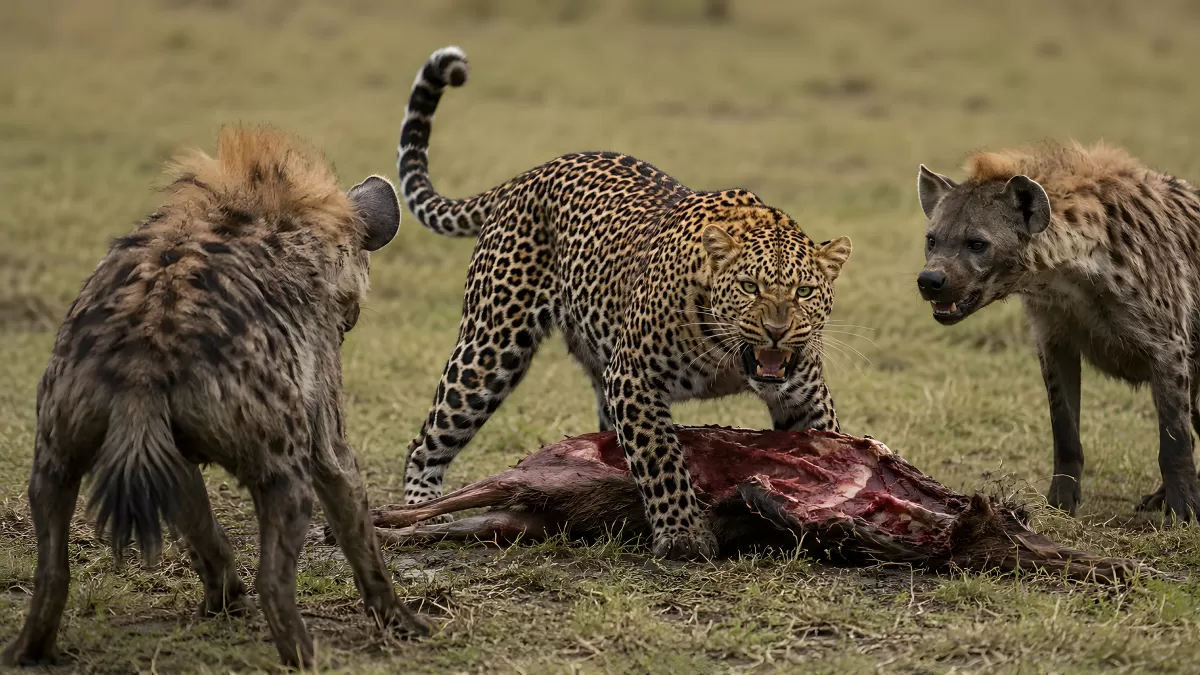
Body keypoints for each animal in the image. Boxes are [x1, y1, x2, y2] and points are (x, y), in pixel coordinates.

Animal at [1, 126, 428, 670]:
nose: (350, 316)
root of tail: (142, 362)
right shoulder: (320, 399)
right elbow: (346, 490)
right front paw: (403, 620)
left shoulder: (168, 448)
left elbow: (197, 516)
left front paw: (224, 597)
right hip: (280, 459)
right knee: (276, 576)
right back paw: (309, 656)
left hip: (56, 440)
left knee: (52, 567)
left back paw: (28, 650)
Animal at [390, 46, 853, 560]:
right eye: (750, 287)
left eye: (804, 292)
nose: (776, 330)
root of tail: (530, 174)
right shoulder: (633, 376)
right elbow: (660, 457)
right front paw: (682, 534)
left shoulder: (804, 394)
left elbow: (825, 436)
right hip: (489, 349)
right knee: (427, 440)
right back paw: (421, 507)